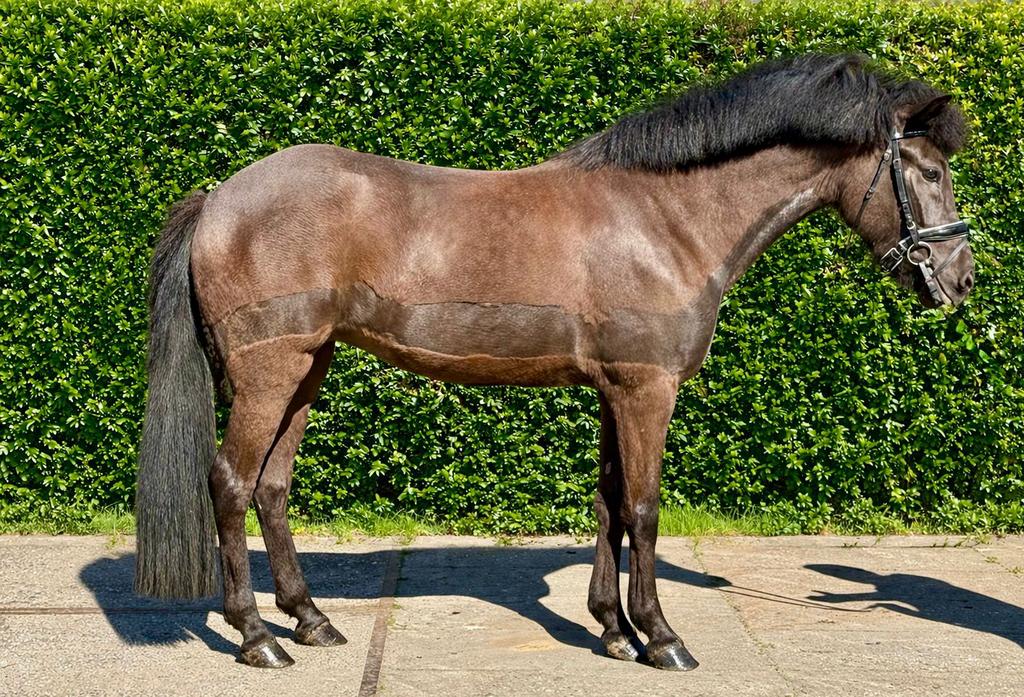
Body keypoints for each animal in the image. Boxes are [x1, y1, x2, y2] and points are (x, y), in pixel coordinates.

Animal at [134, 53, 974, 670]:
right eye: (930, 171)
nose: (961, 279)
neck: (665, 218)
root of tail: (218, 197)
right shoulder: (647, 390)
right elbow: (645, 508)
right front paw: (661, 638)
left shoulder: (614, 389)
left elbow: (609, 505)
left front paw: (612, 629)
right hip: (269, 374)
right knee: (231, 483)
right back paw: (257, 638)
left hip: (307, 369)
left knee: (272, 488)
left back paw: (310, 621)